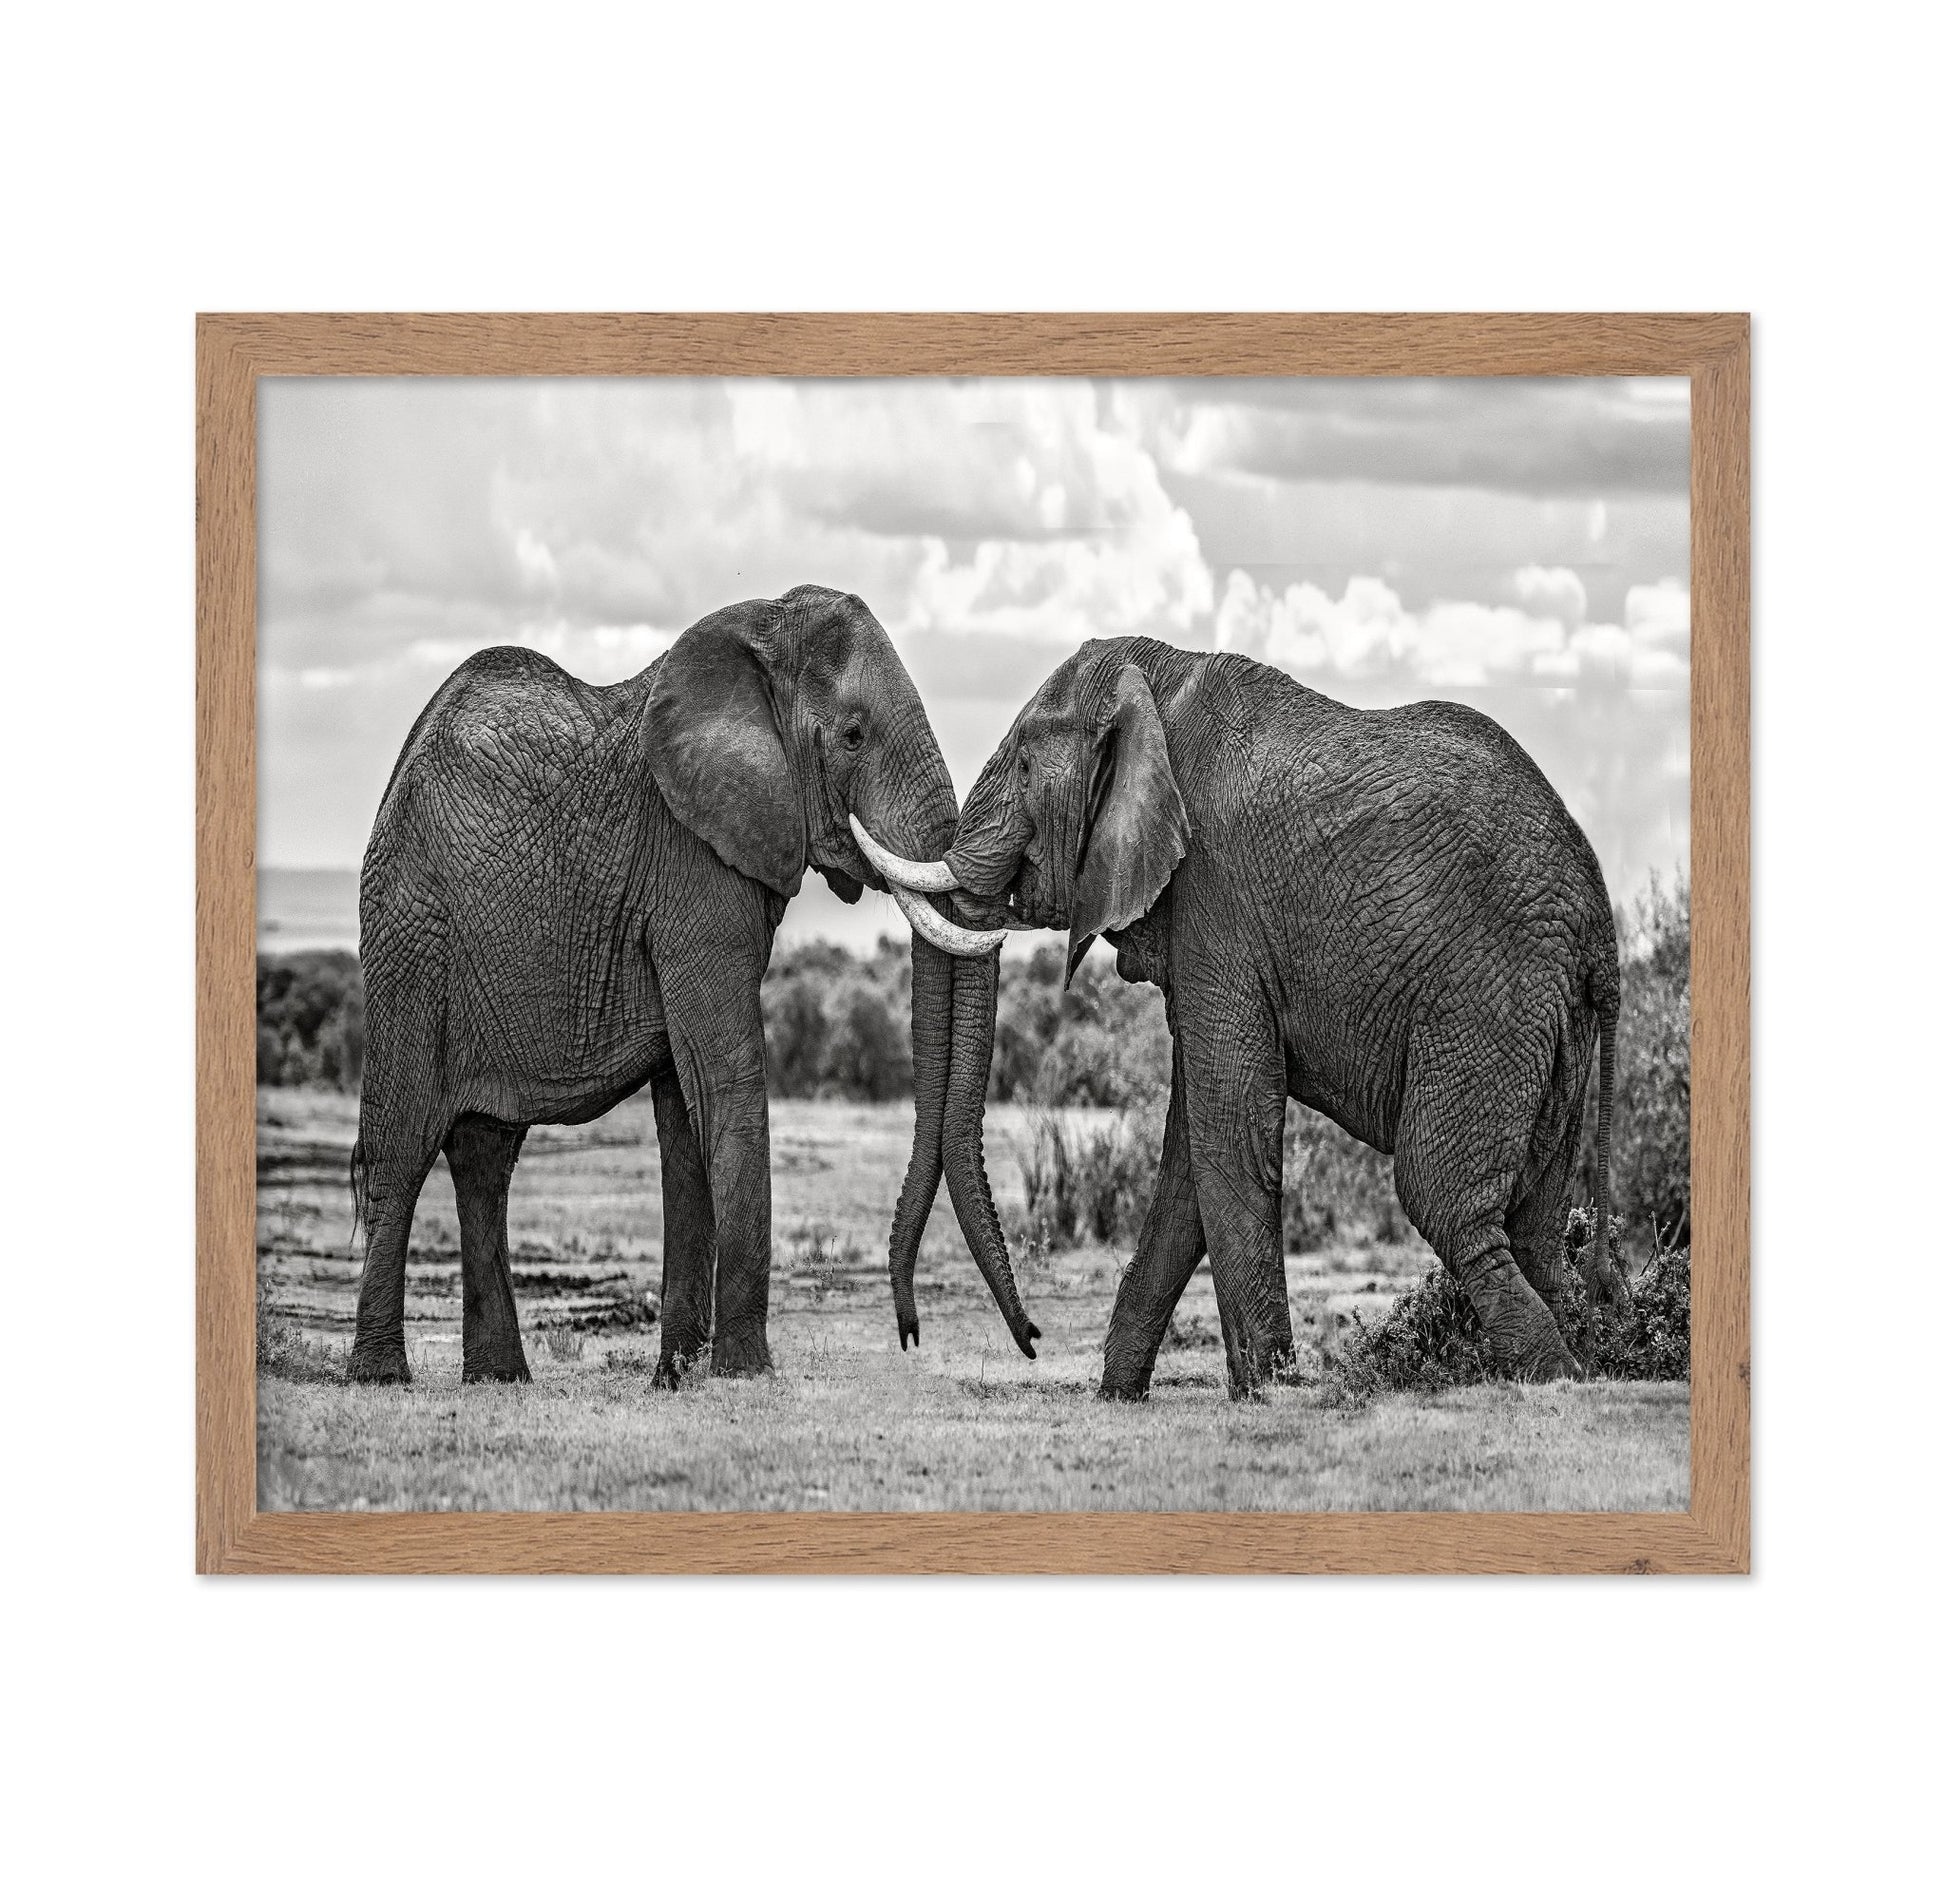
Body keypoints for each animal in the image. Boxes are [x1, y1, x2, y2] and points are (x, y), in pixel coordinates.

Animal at [345, 585, 1037, 1388]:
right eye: (854, 734)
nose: (911, 1334)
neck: (761, 634)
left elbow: (686, 1105)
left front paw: (676, 1377)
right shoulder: (691, 863)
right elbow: (723, 1074)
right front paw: (745, 1372)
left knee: (485, 1158)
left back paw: (499, 1379)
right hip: (410, 936)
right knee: (403, 1147)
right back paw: (380, 1375)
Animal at [863, 635, 1623, 1399]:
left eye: (1022, 763)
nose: (1033, 1339)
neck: (1154, 685)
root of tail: (1600, 922)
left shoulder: (1216, 897)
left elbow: (1227, 1127)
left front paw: (1267, 1392)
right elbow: (1188, 1155)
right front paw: (1120, 1395)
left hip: (1488, 998)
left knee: (1444, 1200)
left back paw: (1556, 1377)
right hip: (1553, 1022)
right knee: (1536, 1222)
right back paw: (1575, 1360)